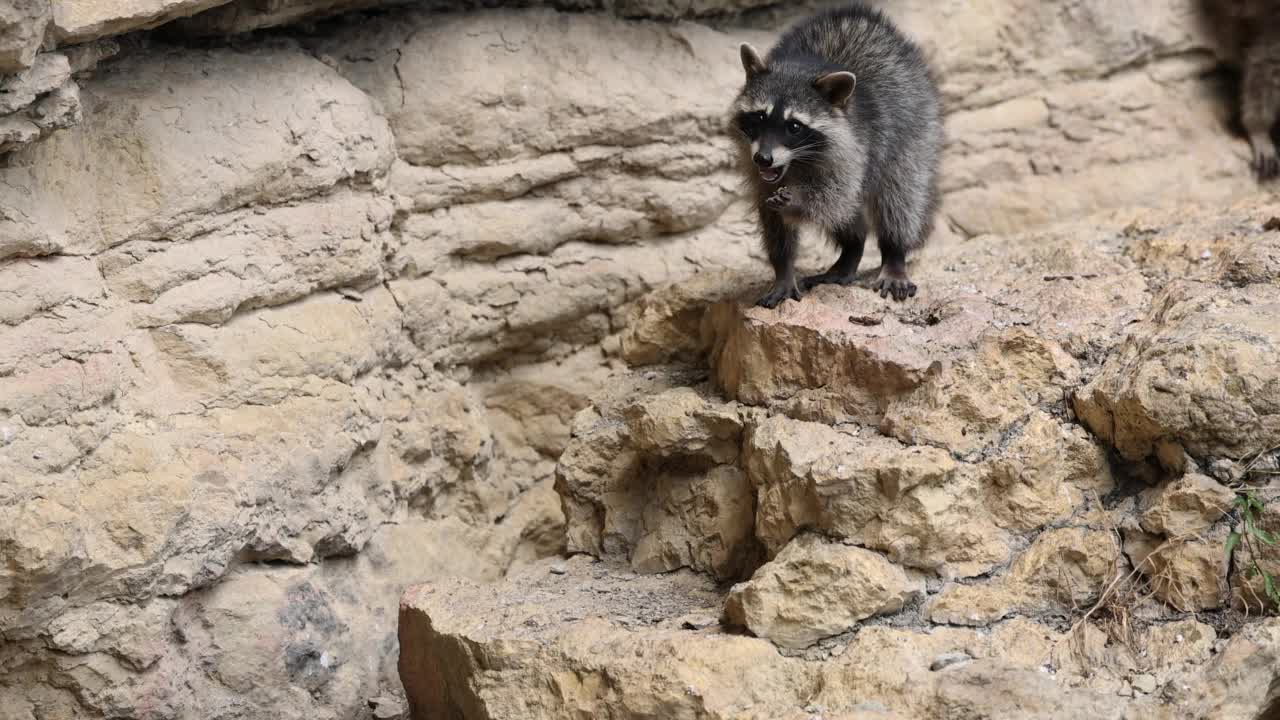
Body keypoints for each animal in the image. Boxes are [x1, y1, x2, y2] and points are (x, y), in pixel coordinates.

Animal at [732, 2, 942, 304]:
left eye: (794, 126)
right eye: (759, 117)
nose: (763, 158)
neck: (796, 162)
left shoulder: (853, 146)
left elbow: (836, 196)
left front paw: (798, 201)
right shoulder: (756, 169)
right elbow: (772, 220)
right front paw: (783, 268)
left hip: (914, 126)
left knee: (898, 195)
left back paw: (894, 252)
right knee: (850, 215)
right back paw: (852, 249)